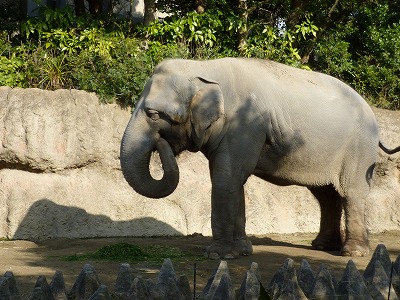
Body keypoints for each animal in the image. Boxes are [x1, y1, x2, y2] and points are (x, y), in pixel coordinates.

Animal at [119, 57, 400, 258]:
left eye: (154, 114)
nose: (161, 143)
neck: (203, 67)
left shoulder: (245, 124)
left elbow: (226, 180)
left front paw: (218, 255)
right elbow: (234, 181)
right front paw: (242, 251)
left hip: (359, 148)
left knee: (351, 193)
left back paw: (352, 253)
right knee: (326, 196)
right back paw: (322, 247)